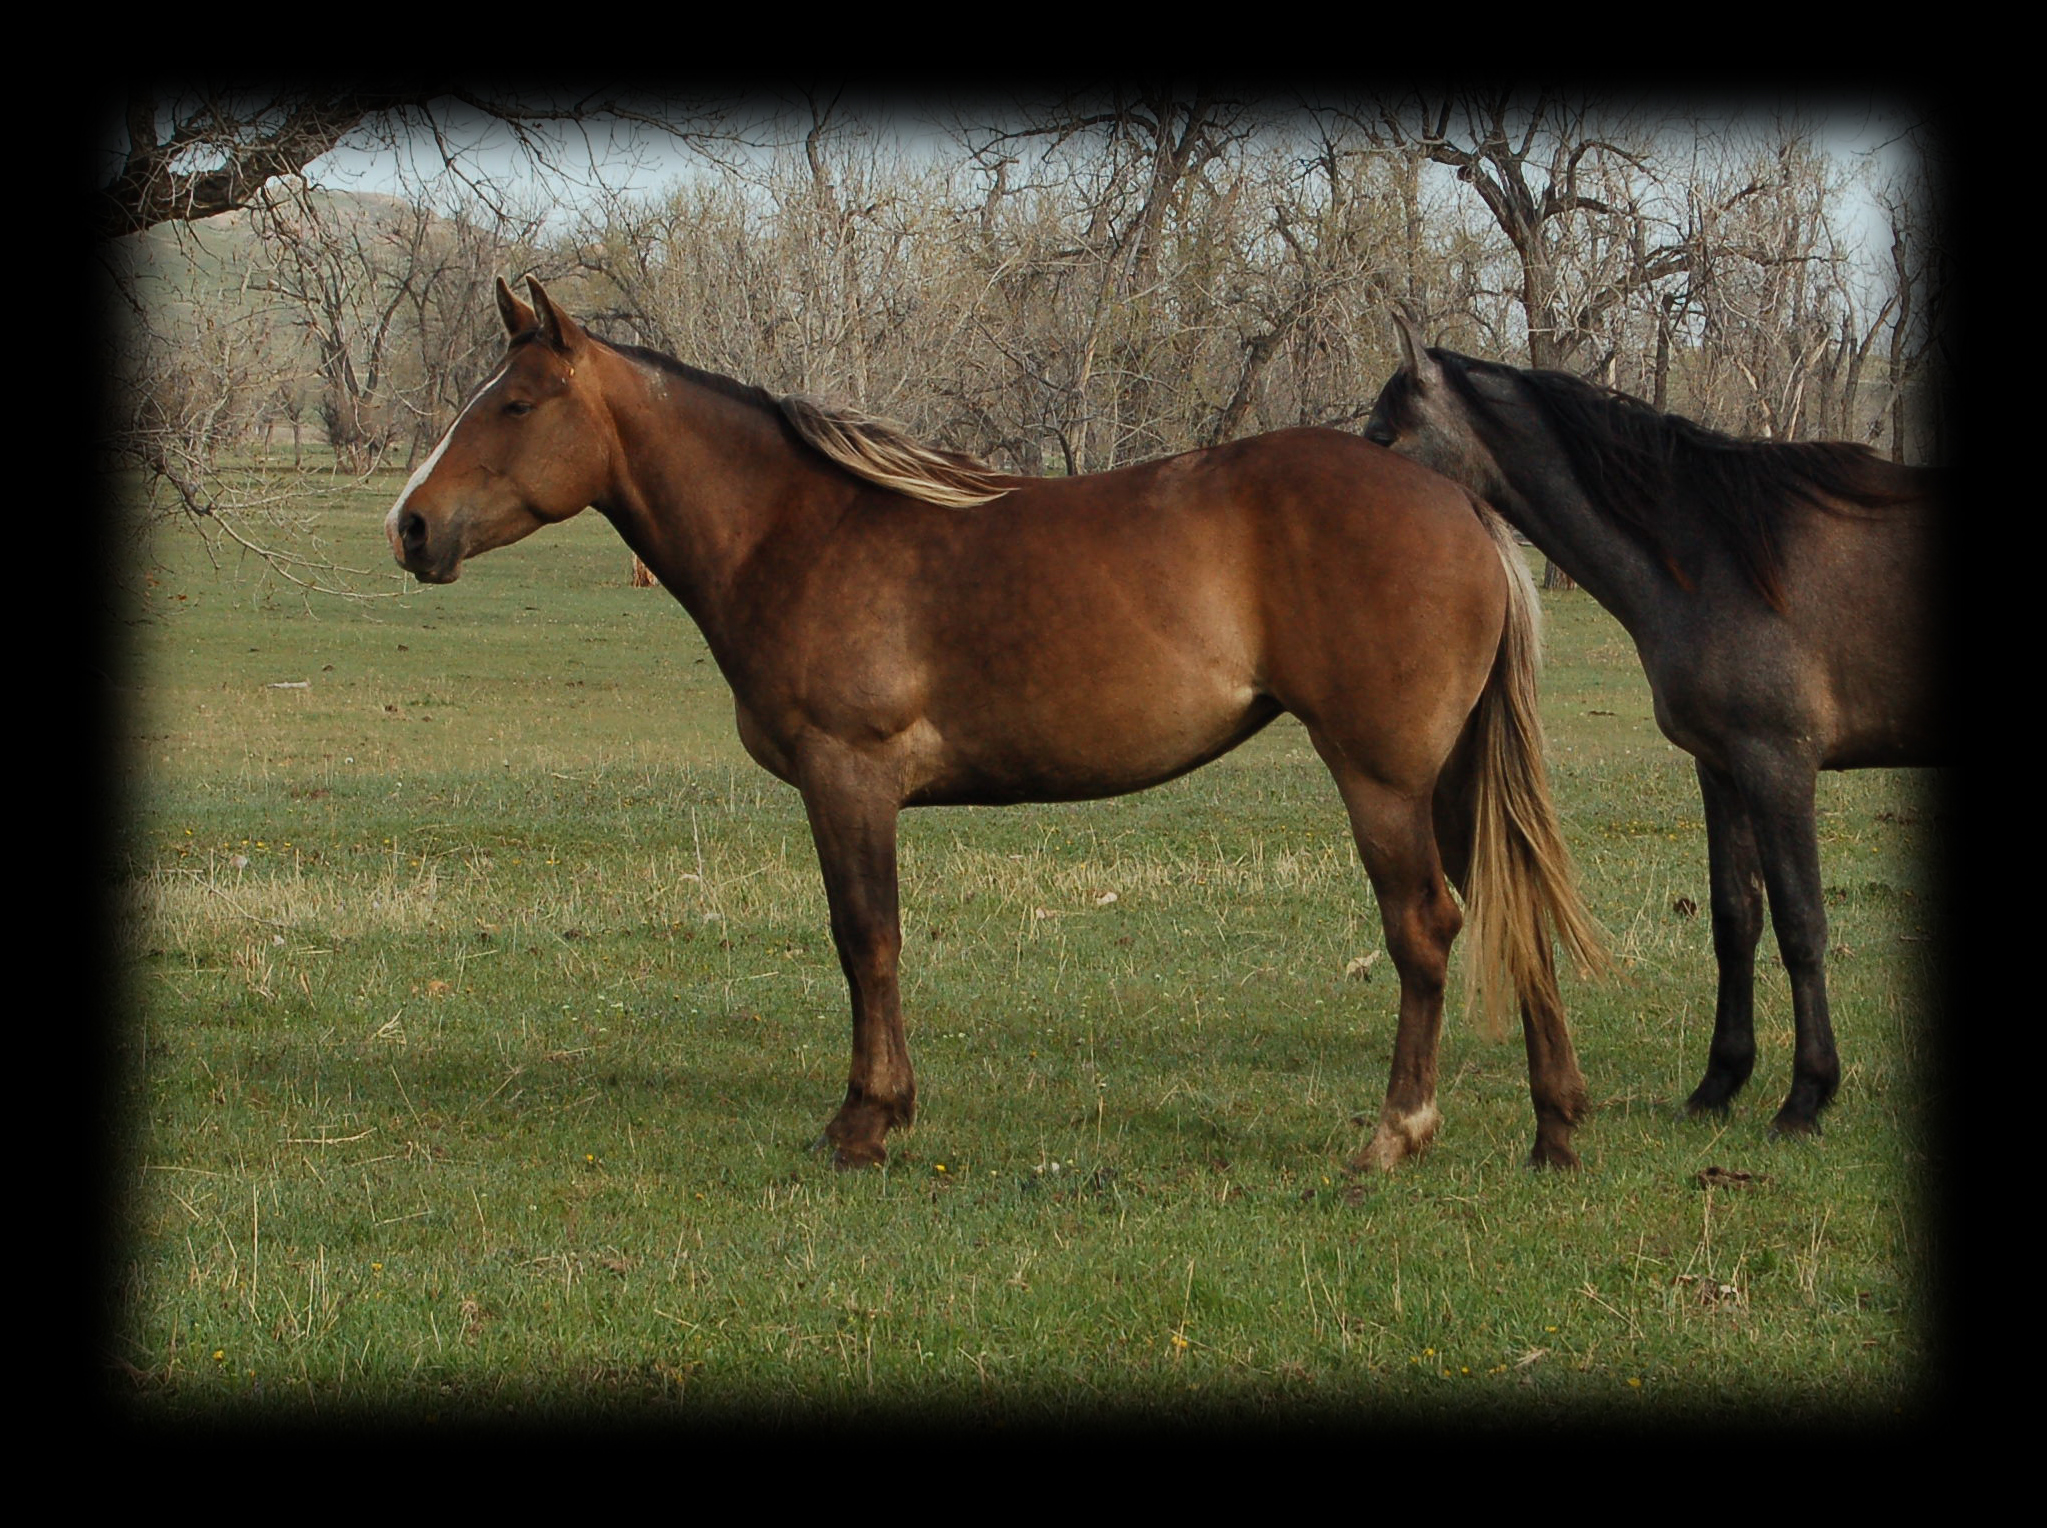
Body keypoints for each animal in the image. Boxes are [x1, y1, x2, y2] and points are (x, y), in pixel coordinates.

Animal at [380, 276, 1596, 1163]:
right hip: (1448, 776)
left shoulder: (849, 776)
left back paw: (1397, 1134)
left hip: (1382, 778)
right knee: (1513, 911)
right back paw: (1553, 1128)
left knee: (1426, 927)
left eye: (515, 404)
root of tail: (1458, 502)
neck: (799, 528)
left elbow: (866, 938)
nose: (410, 526)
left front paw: (867, 1119)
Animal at [1367, 313, 1940, 1130]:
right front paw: (1720, 1082)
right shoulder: (1723, 766)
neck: (1714, 554)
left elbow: (1802, 924)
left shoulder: (1779, 765)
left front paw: (1806, 1095)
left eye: (1383, 435)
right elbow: (1735, 919)